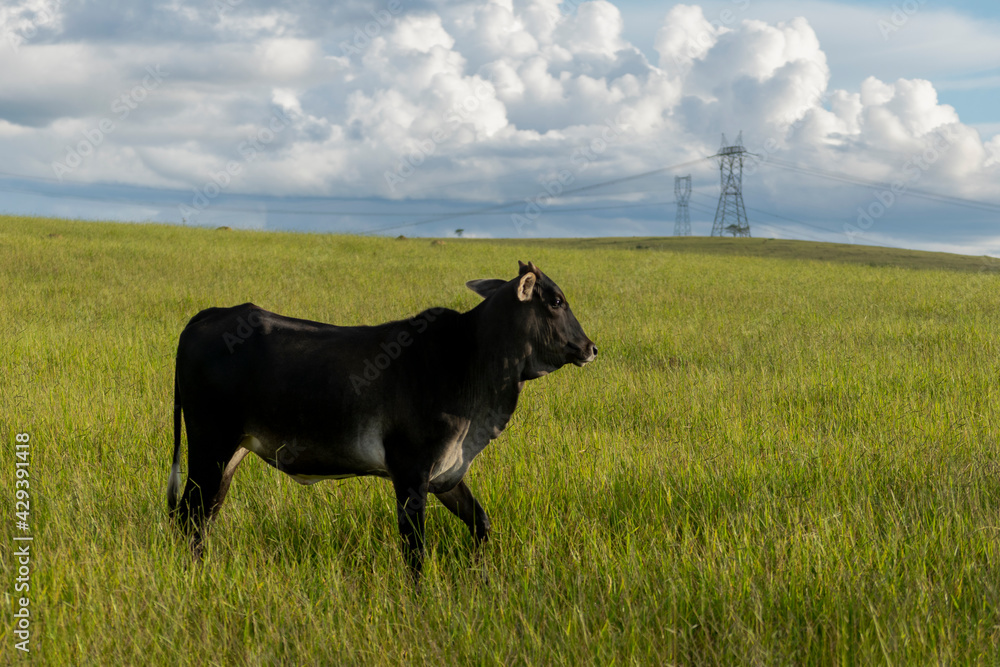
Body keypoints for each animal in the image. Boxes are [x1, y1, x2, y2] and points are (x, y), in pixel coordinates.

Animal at [167, 261, 597, 582]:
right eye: (556, 301)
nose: (591, 348)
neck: (471, 359)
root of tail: (212, 315)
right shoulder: (410, 473)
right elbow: (416, 554)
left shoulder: (446, 474)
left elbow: (482, 524)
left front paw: (482, 579)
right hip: (209, 447)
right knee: (189, 516)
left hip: (231, 453)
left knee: (203, 518)